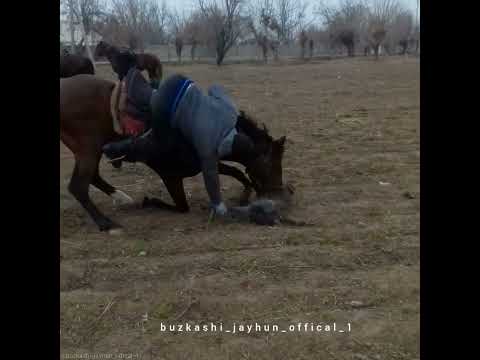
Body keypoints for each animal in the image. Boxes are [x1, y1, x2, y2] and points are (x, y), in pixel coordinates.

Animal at [59, 74, 284, 232]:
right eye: (271, 164)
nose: (277, 191)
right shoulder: (176, 174)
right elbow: (182, 205)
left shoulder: (205, 160)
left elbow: (235, 172)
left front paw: (245, 195)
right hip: (89, 149)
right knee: (78, 186)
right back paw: (106, 223)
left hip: (89, 151)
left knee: (92, 178)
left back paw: (122, 198)